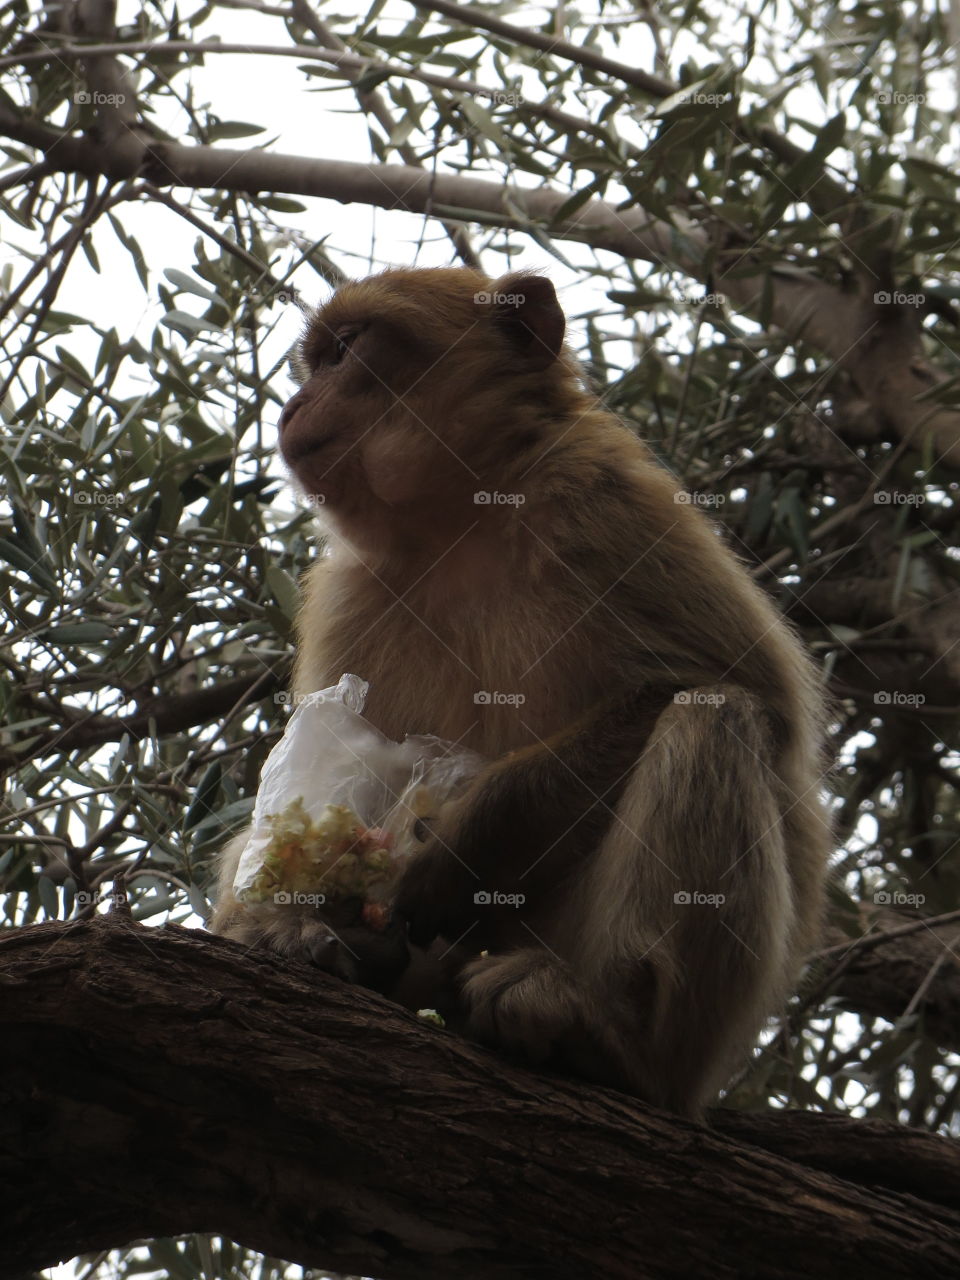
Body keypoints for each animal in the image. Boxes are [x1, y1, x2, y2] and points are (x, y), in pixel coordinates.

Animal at [210, 265, 830, 1117]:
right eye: (316, 360)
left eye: (345, 350)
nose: (293, 405)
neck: (460, 523)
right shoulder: (350, 593)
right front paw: (307, 913)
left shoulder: (602, 493)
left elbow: (735, 688)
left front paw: (456, 849)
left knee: (715, 721)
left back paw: (609, 1036)